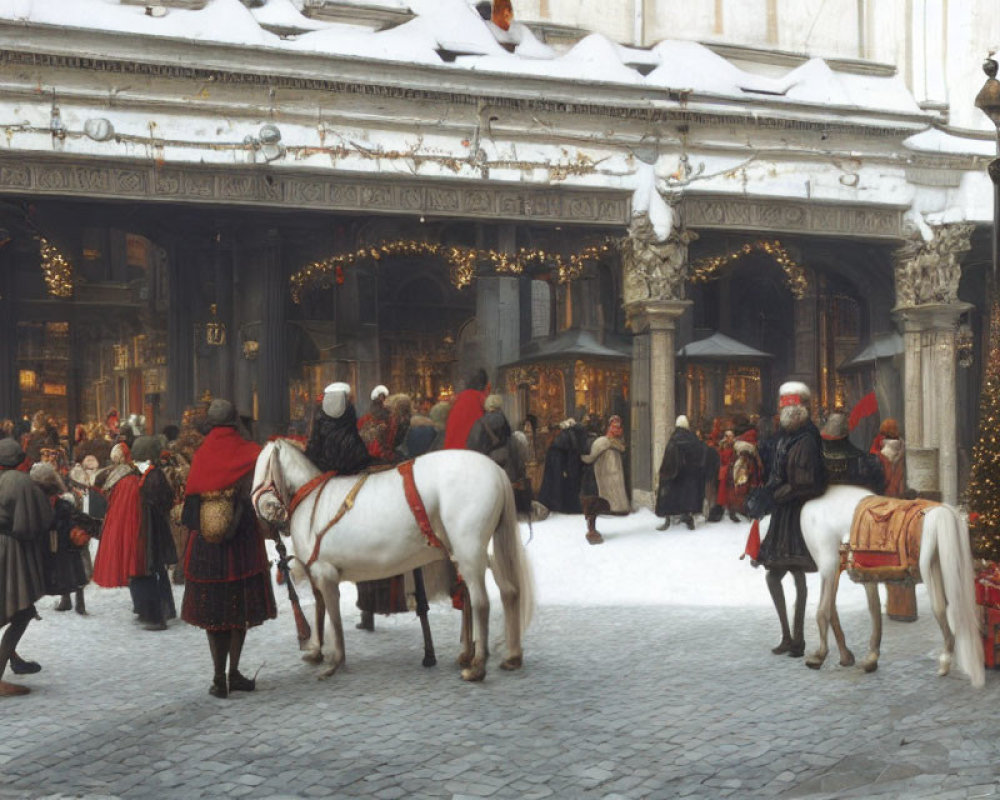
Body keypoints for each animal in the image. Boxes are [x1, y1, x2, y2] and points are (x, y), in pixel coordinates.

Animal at [252, 438, 532, 680]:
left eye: (263, 467)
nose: (263, 508)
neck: (311, 500)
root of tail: (496, 471)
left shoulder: (325, 573)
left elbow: (333, 615)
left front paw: (335, 661)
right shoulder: (317, 575)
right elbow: (320, 609)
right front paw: (317, 651)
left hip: (469, 552)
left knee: (481, 602)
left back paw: (478, 666)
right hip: (473, 554)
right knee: (507, 591)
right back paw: (508, 656)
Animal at [796, 482, 984, 688]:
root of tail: (943, 515)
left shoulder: (828, 564)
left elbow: (824, 611)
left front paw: (820, 656)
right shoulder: (861, 572)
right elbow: (872, 609)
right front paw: (862, 657)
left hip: (932, 570)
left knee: (941, 608)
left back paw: (945, 660)